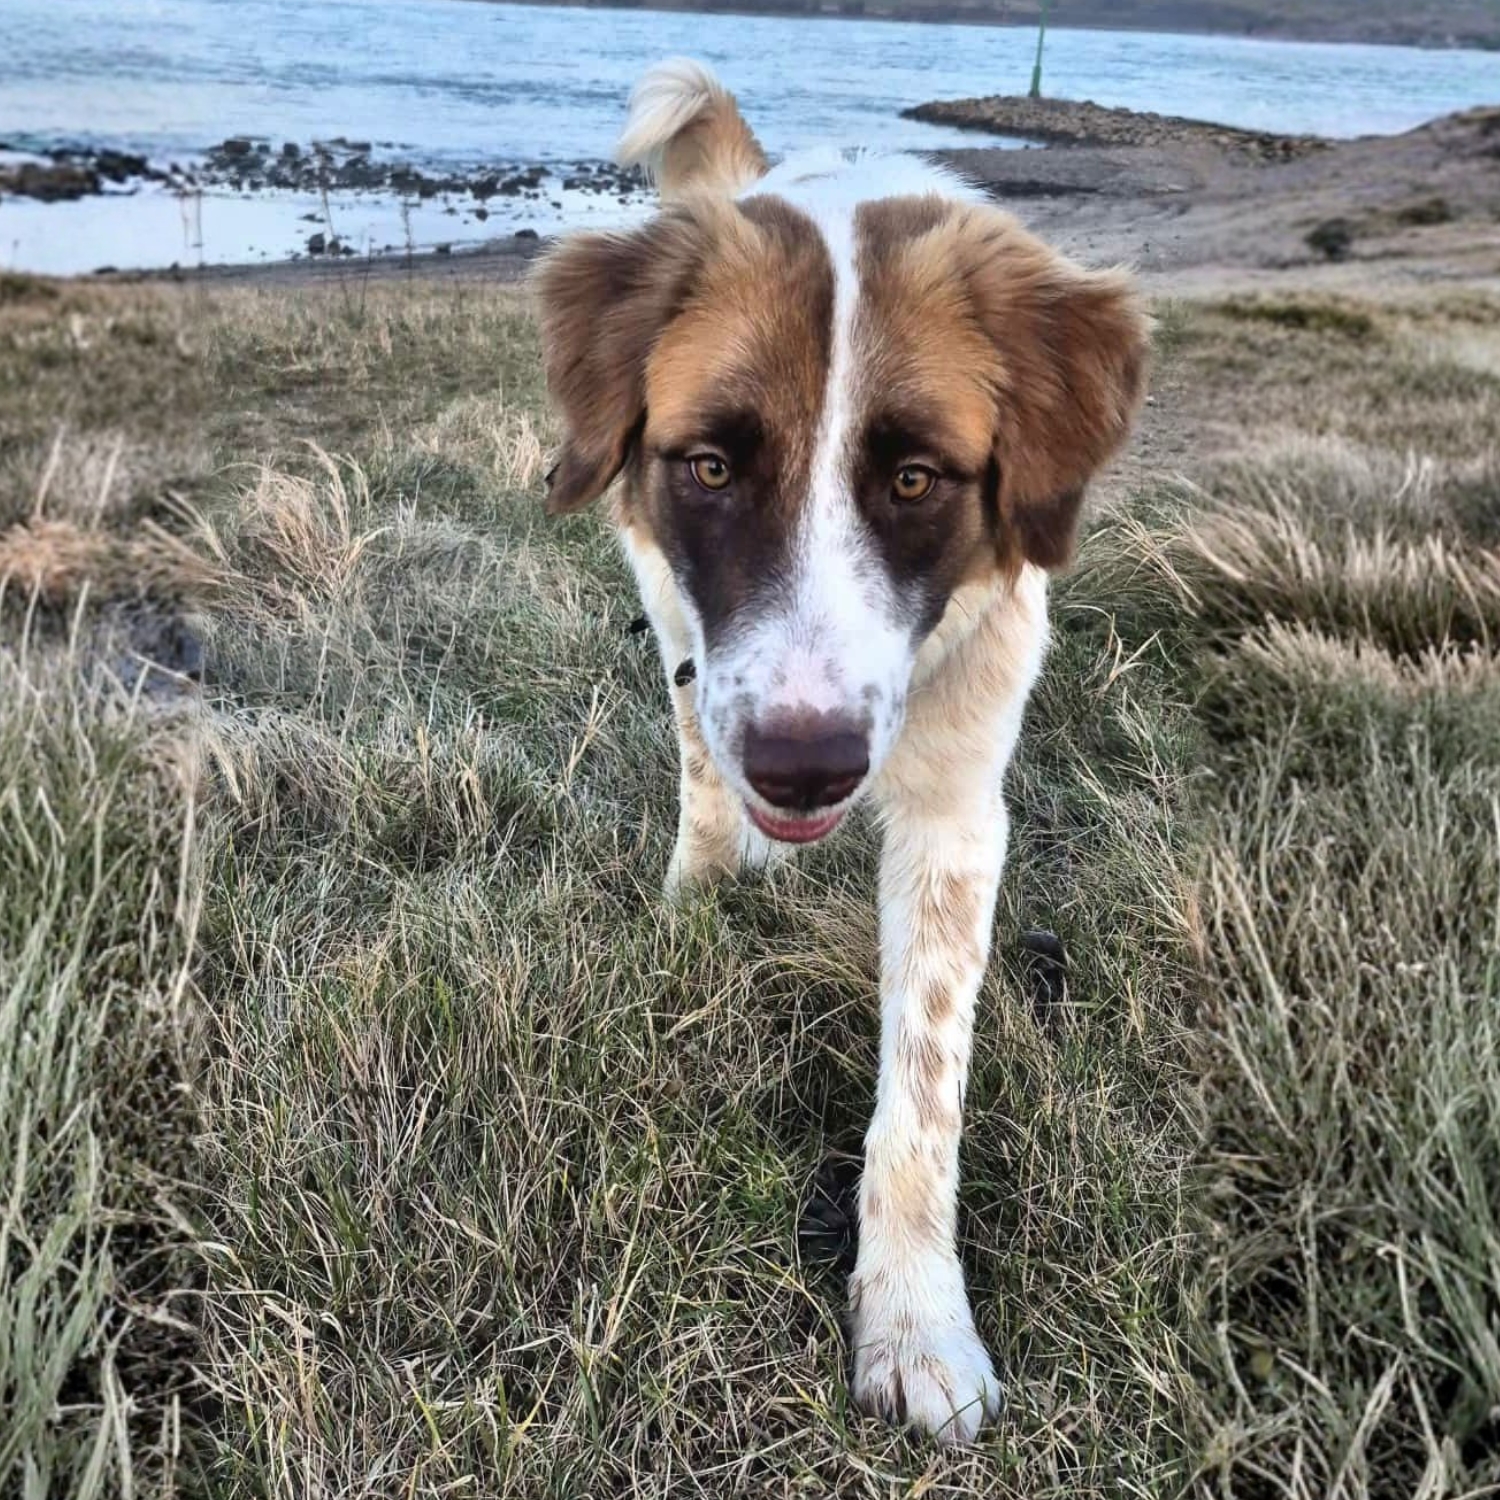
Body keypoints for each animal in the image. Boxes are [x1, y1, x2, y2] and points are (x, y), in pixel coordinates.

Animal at [533, 59, 1147, 1444]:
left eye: (916, 480)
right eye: (711, 464)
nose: (803, 769)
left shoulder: (959, 809)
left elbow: (921, 1096)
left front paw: (914, 1320)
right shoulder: (700, 643)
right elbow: (705, 756)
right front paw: (707, 887)